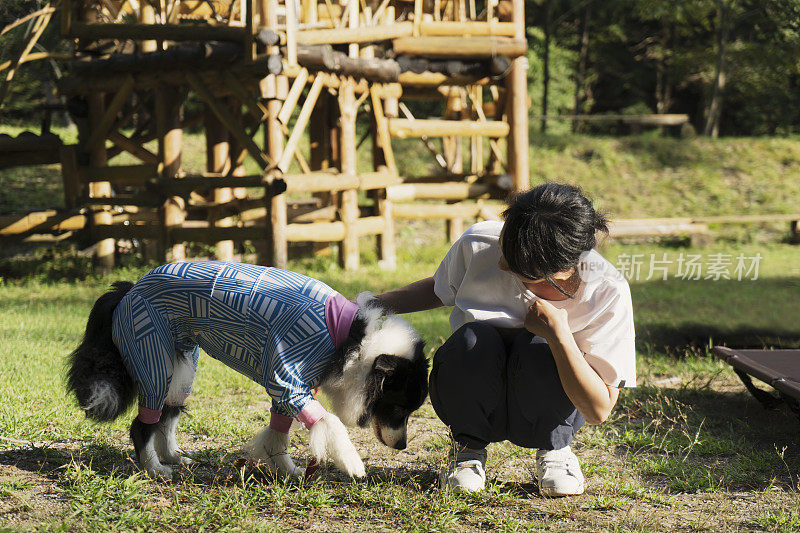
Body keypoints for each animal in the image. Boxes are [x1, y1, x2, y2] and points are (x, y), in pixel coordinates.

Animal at [68, 262, 428, 478]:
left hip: (181, 366)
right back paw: (154, 468)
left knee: (169, 415)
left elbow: (278, 434)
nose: (402, 447)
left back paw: (173, 457)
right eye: (398, 407)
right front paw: (352, 464)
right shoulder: (287, 381)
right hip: (150, 353)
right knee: (142, 425)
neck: (353, 340)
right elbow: (329, 423)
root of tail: (129, 288)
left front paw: (288, 471)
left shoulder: (290, 390)